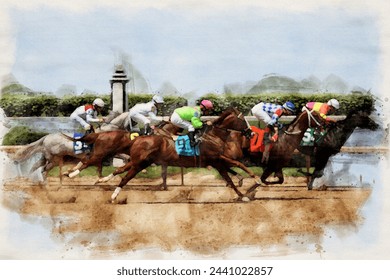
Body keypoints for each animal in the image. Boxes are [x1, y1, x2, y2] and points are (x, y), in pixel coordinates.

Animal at [96, 107, 258, 201]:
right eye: (243, 120)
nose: (251, 133)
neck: (212, 136)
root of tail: (138, 138)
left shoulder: (216, 160)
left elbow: (233, 170)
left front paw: (244, 183)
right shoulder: (216, 159)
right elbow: (234, 168)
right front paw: (249, 188)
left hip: (140, 161)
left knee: (120, 169)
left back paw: (103, 180)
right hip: (140, 164)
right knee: (126, 177)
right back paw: (114, 195)